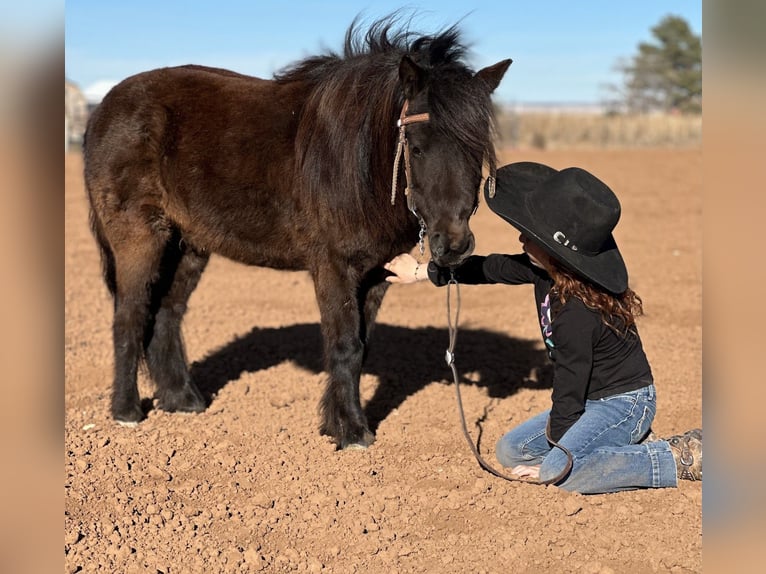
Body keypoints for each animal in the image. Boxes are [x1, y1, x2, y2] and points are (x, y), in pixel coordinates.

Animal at [83, 15, 511, 449]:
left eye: (476, 149)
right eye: (417, 146)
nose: (453, 245)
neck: (357, 161)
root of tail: (103, 109)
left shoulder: (377, 273)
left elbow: (362, 347)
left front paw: (337, 422)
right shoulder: (334, 267)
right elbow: (344, 344)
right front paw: (351, 432)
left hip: (188, 246)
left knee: (166, 314)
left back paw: (182, 400)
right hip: (139, 237)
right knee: (130, 315)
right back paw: (126, 412)